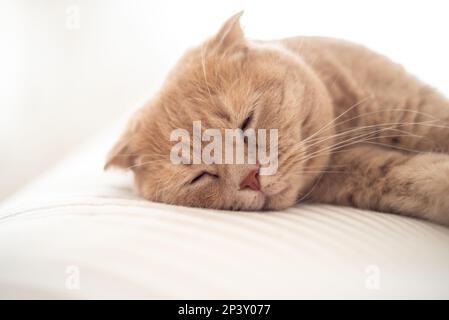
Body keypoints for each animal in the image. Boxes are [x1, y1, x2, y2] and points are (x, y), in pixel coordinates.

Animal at [104, 12, 448, 226]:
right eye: (200, 176)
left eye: (247, 122)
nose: (251, 178)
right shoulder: (365, 171)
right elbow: (414, 176)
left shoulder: (418, 108)